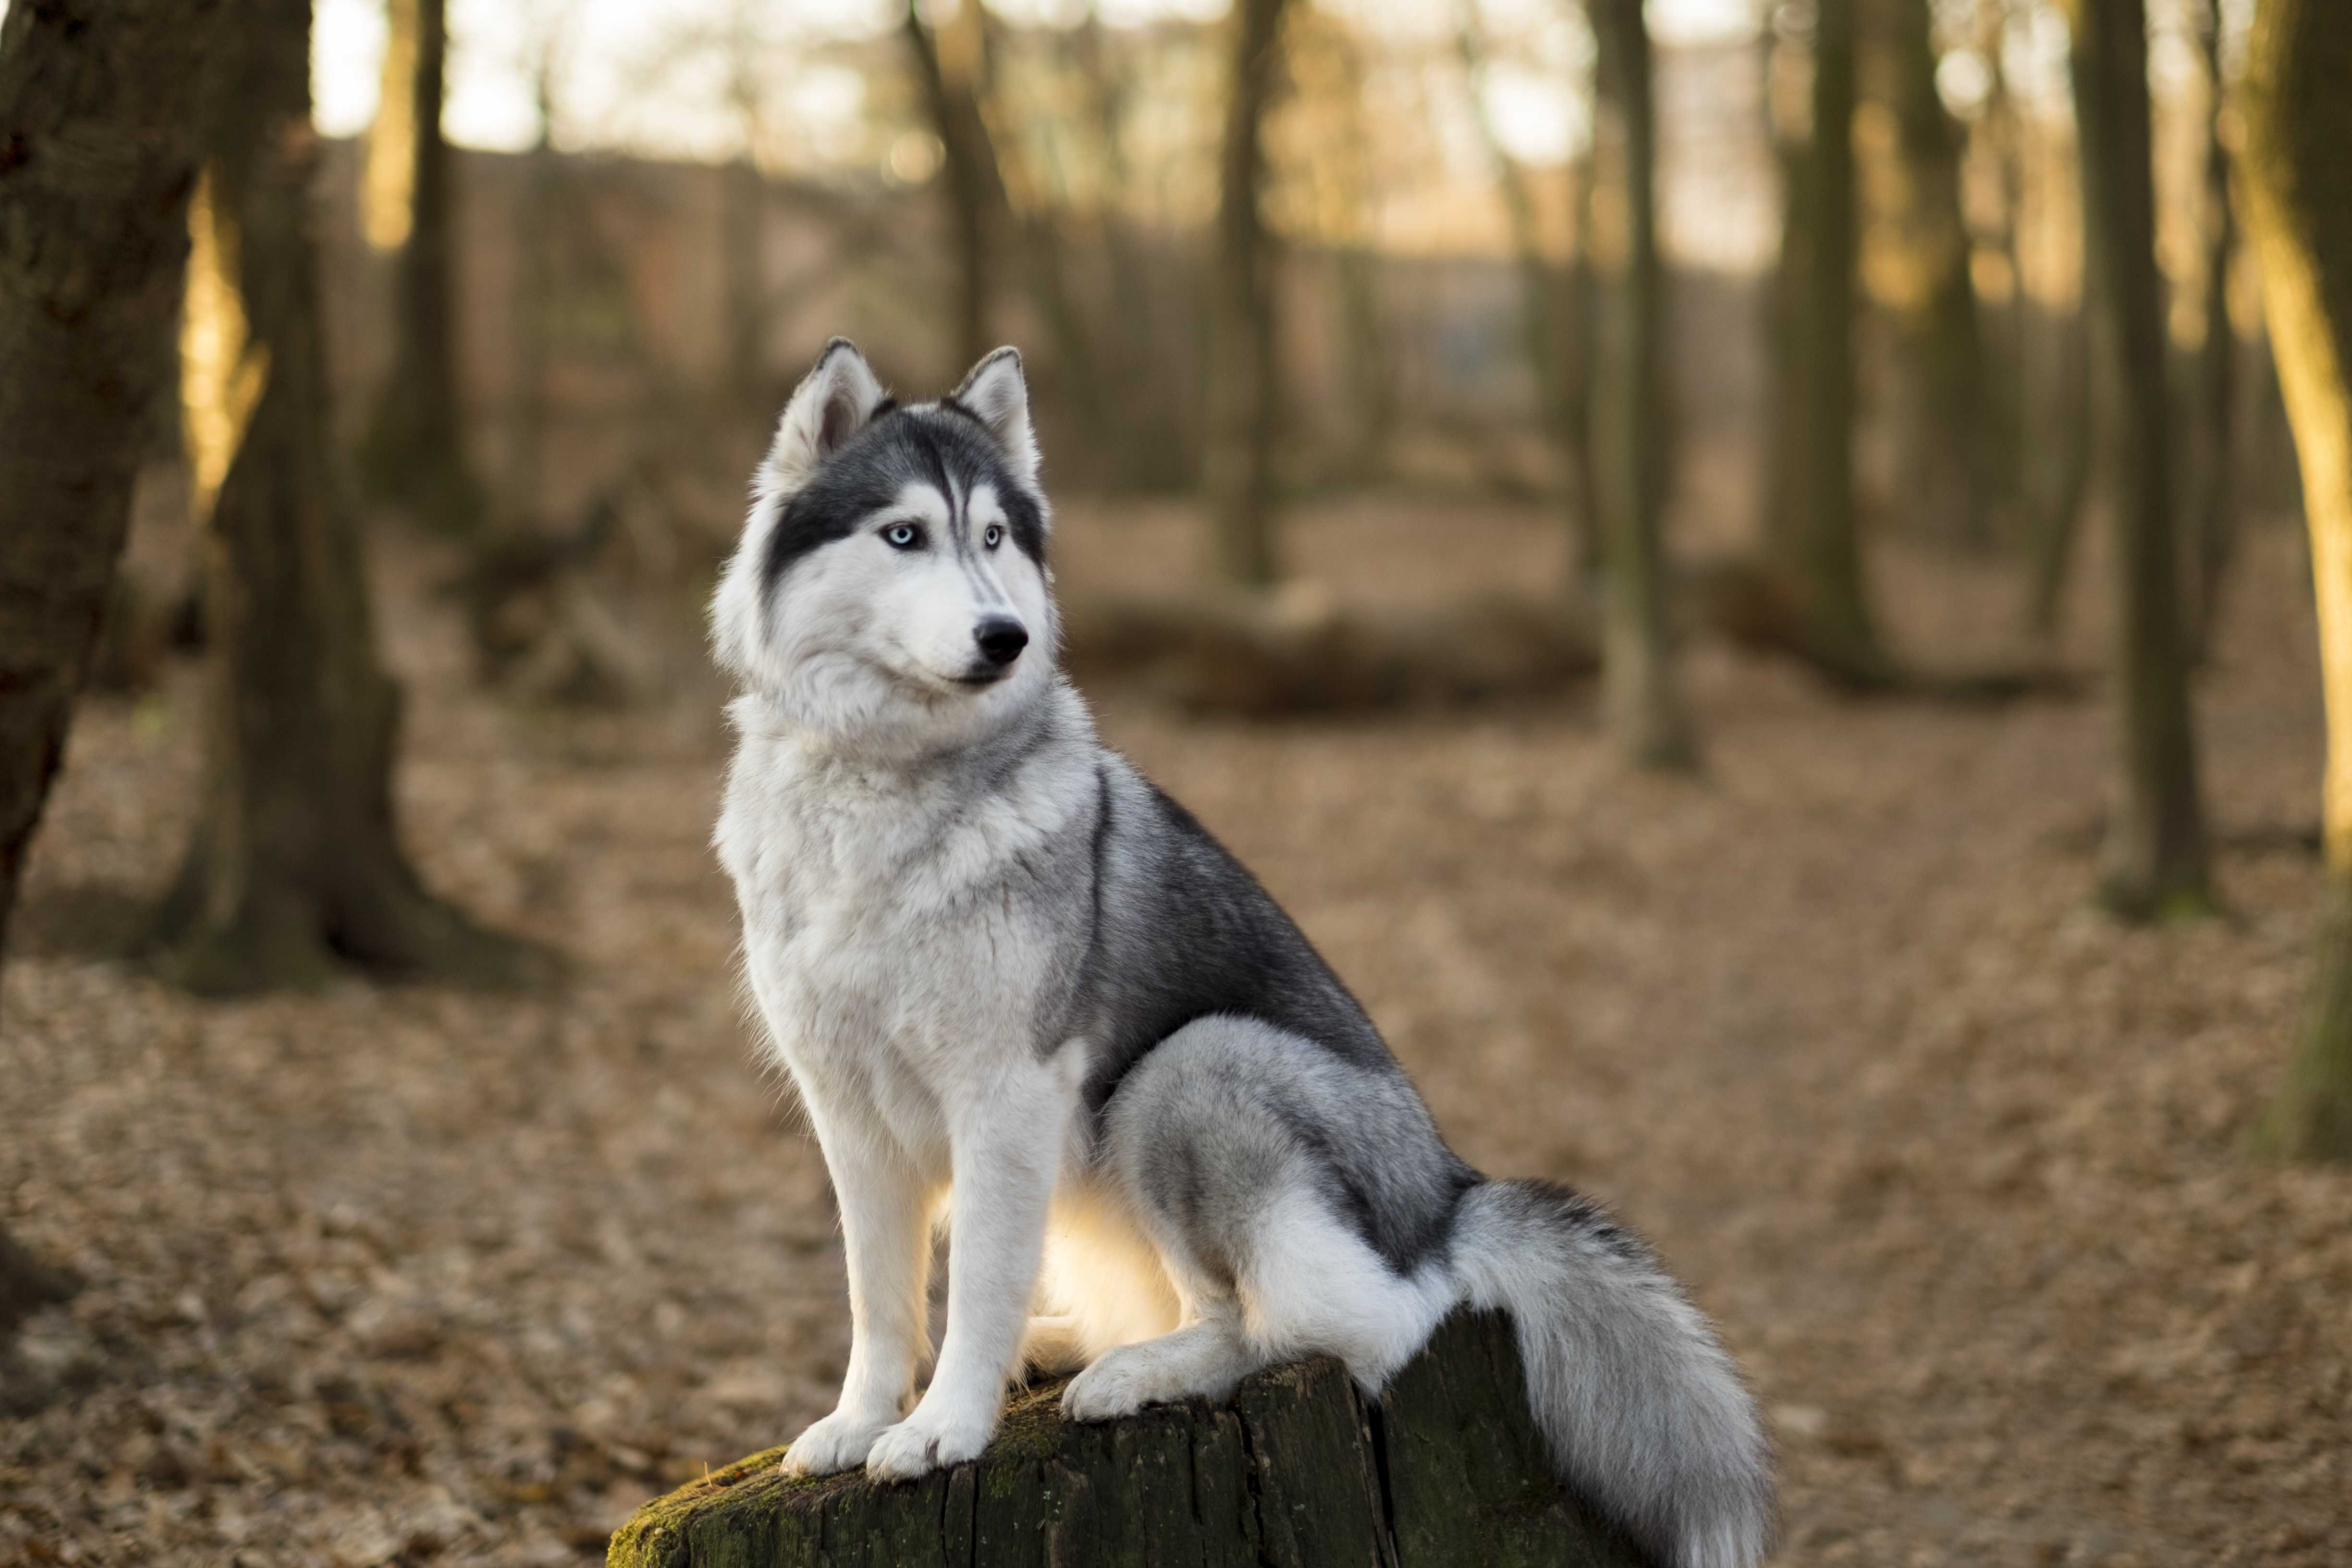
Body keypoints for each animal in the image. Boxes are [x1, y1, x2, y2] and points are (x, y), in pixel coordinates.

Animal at [705, 338, 1768, 1561]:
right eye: (902, 535)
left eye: (994, 539)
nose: (1002, 637)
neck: (883, 789)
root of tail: (1449, 1199)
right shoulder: (848, 1112)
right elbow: (879, 1299)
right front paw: (859, 1421)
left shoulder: (1004, 1095)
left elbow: (973, 1286)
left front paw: (944, 1429)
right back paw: (1073, 1343)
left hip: (1191, 1070)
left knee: (1319, 1327)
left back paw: (1142, 1372)